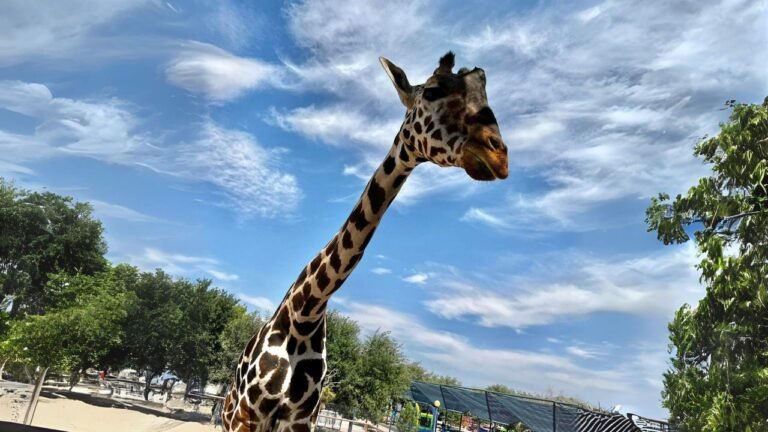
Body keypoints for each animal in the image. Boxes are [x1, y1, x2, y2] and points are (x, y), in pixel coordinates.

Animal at [221, 52, 509, 432]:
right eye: (433, 91)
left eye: (485, 91)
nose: (499, 156)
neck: (304, 314)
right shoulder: (248, 415)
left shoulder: (302, 418)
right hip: (230, 417)